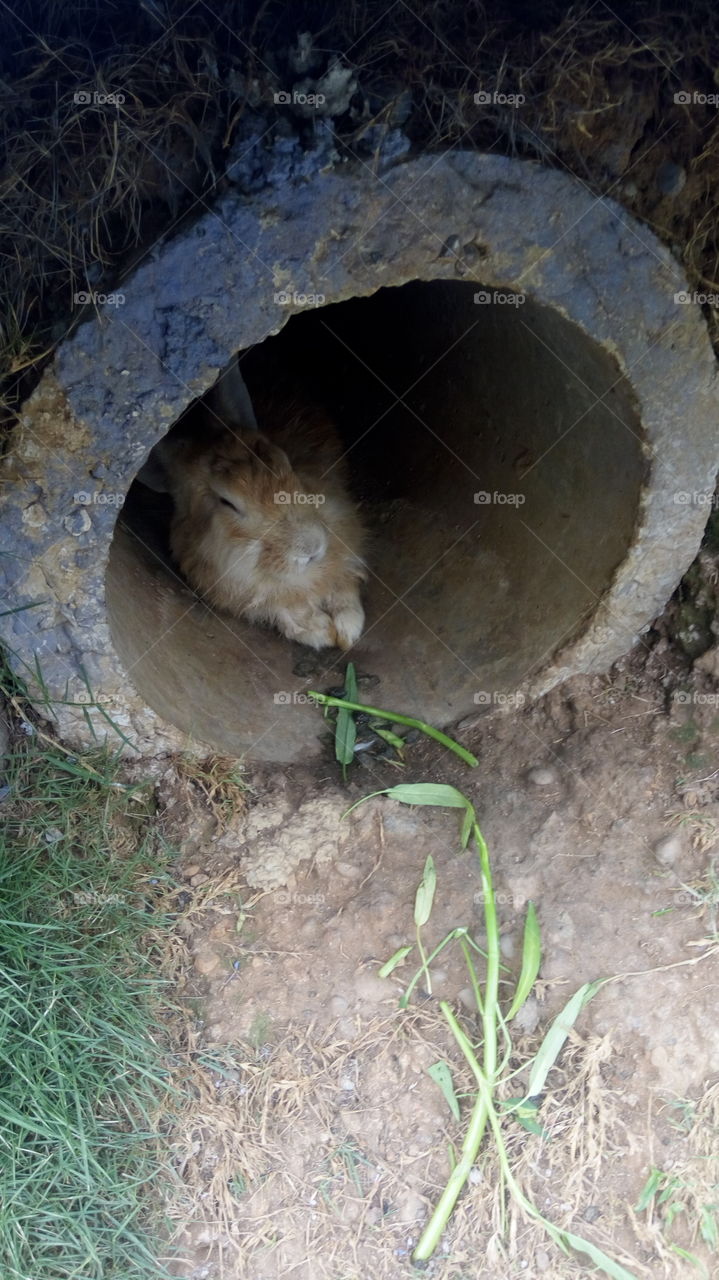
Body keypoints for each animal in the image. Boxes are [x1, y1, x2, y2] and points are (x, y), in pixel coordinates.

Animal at [136, 358, 367, 650]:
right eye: (227, 502)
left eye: (285, 462)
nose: (313, 548)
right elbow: (281, 609)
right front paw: (319, 632)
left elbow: (345, 584)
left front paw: (349, 628)